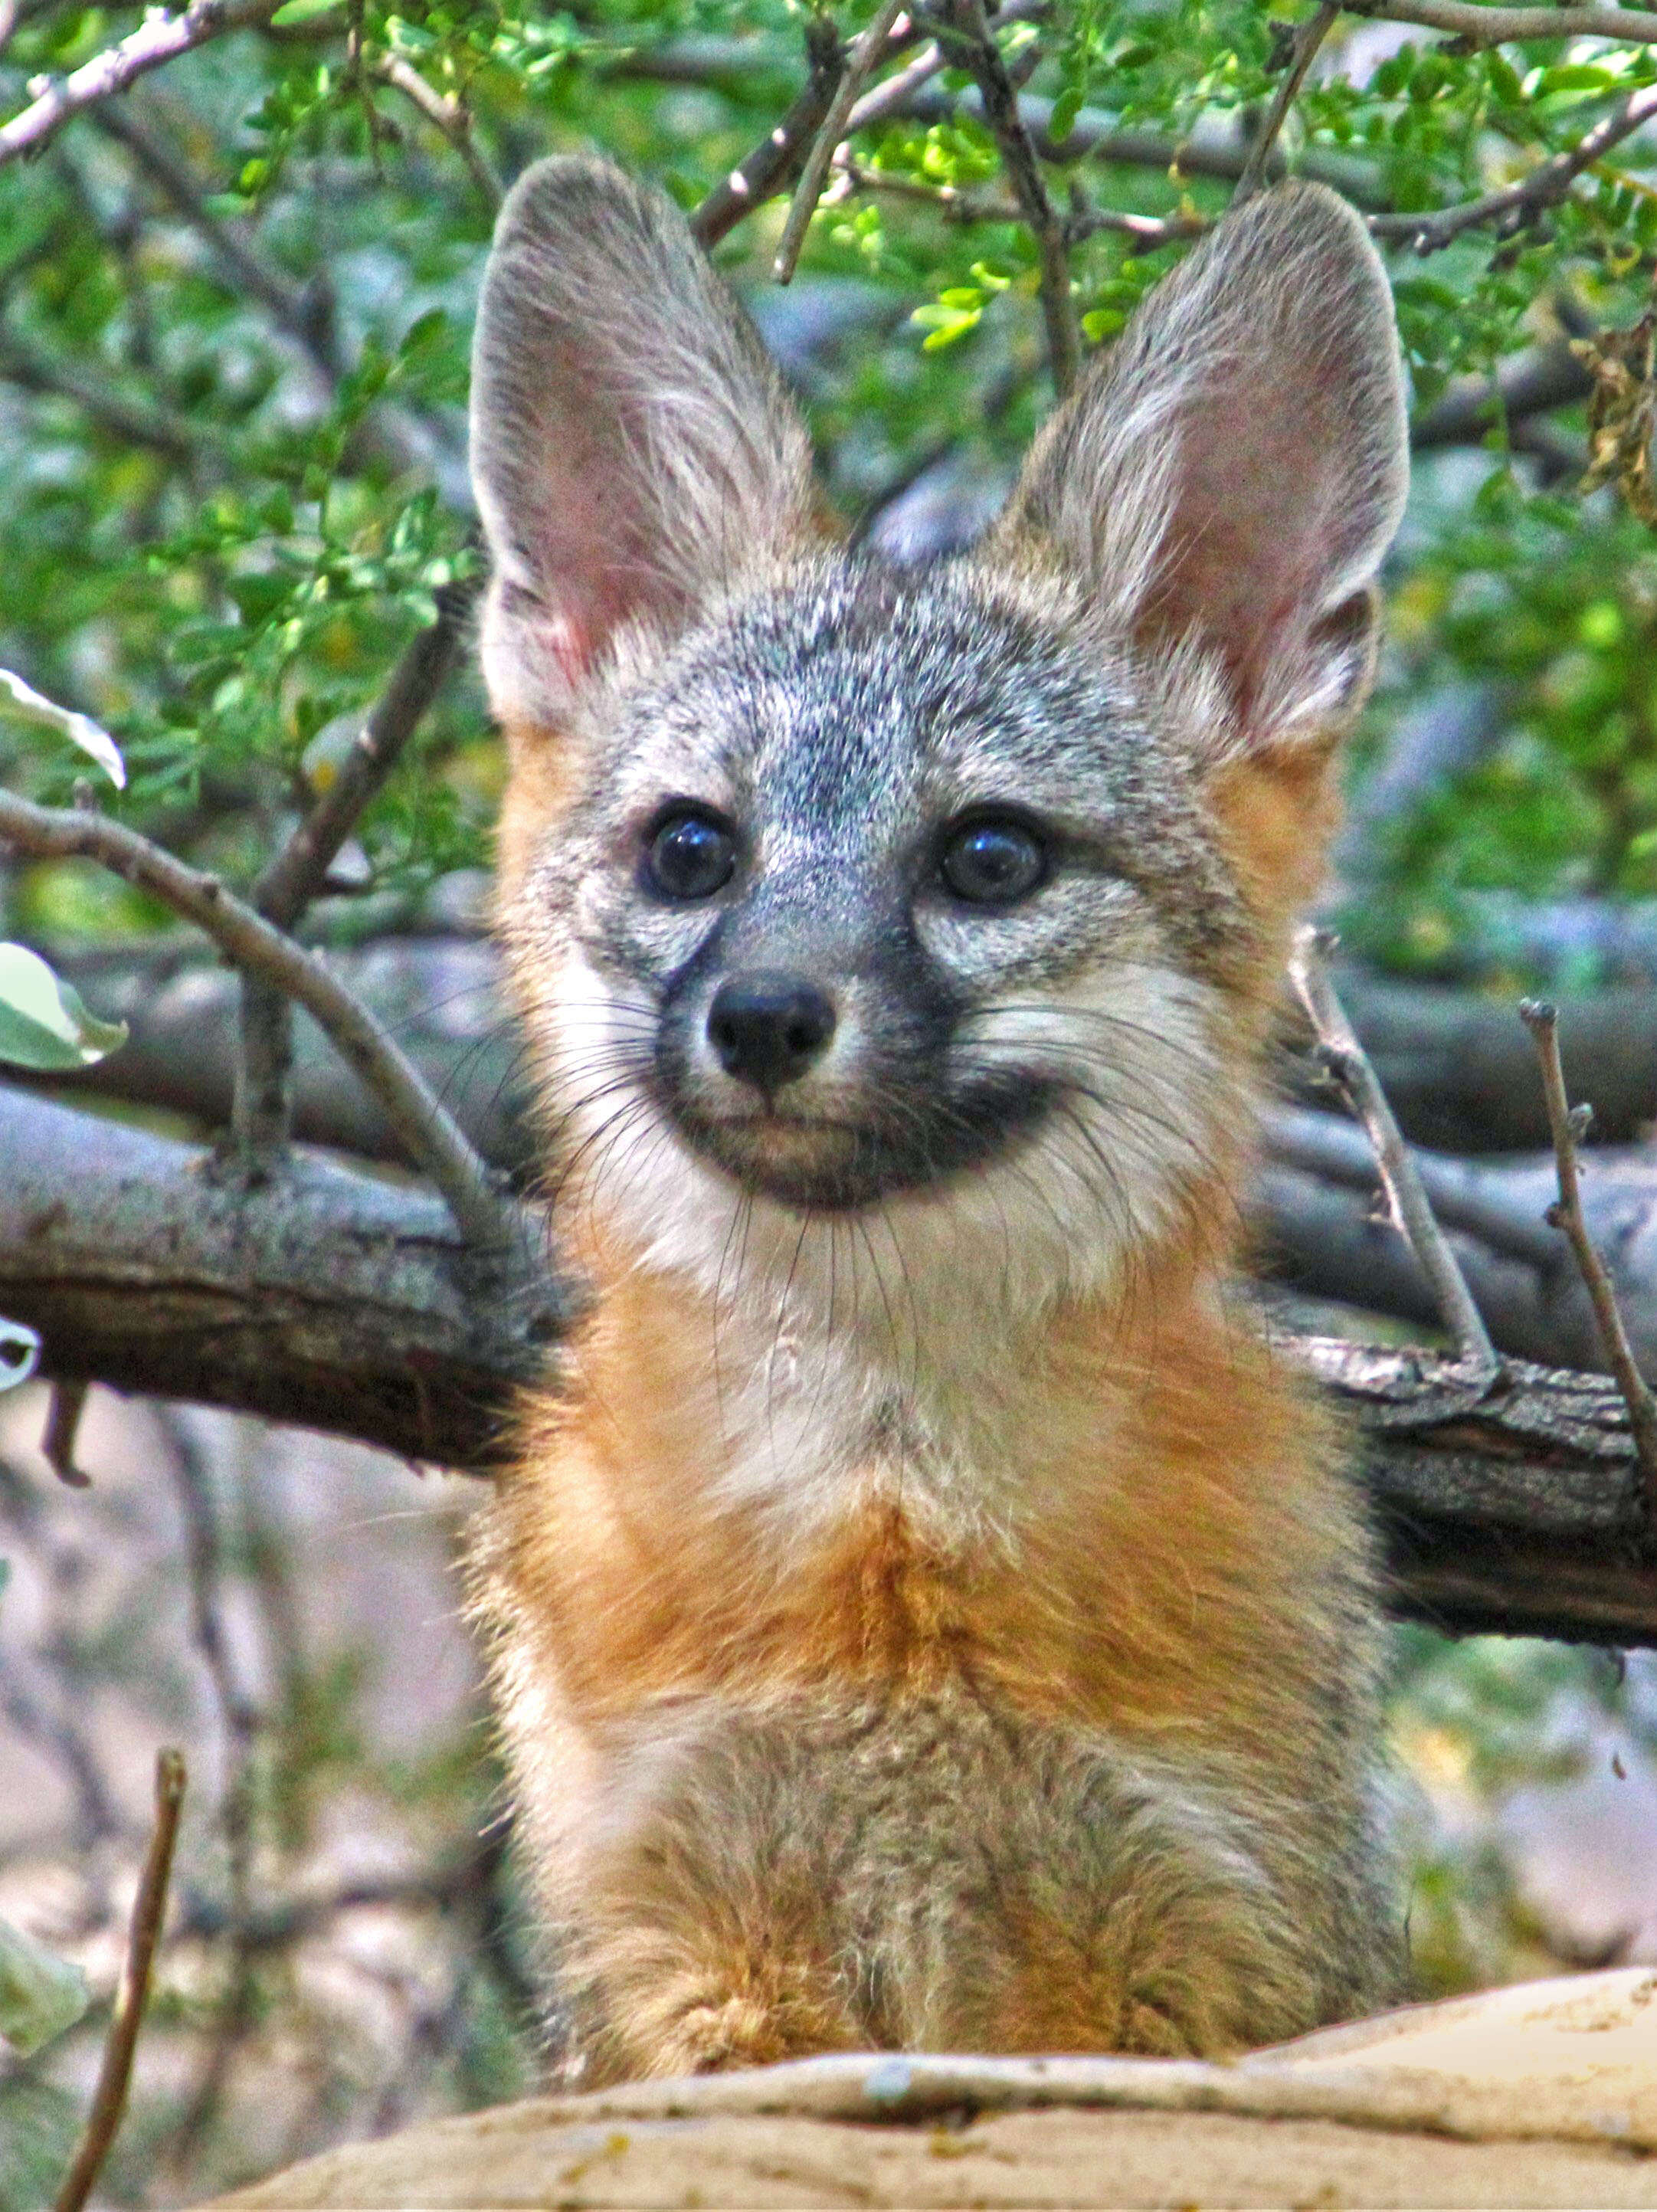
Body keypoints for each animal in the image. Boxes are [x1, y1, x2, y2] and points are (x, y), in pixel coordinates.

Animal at [462, 160, 1406, 2088]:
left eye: (987, 859)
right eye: (693, 850)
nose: (763, 1016)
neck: (883, 1530)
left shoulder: (1168, 1953)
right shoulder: (691, 1956)